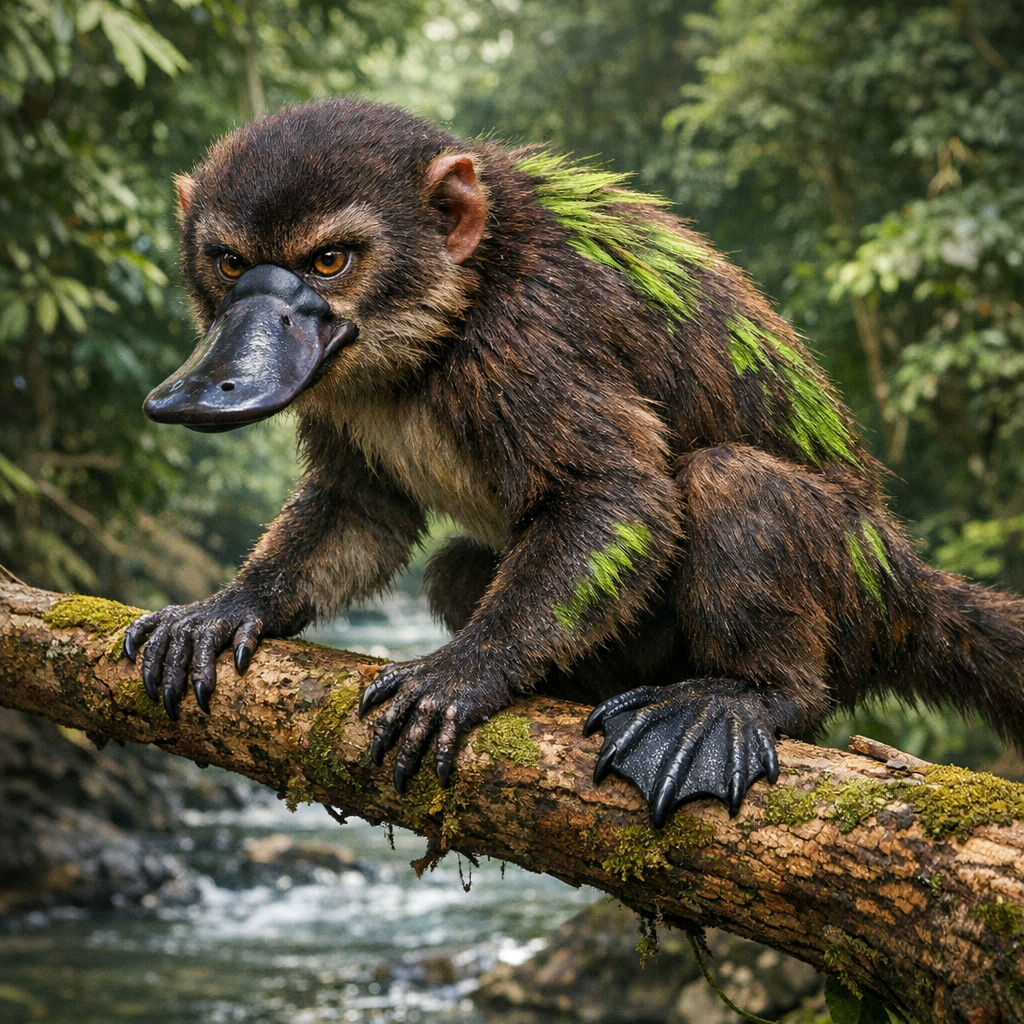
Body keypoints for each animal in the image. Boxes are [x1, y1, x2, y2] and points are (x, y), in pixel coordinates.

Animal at [123, 97, 1024, 828]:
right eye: (230, 262)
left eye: (328, 260)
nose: (210, 385)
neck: (452, 308)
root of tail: (905, 589)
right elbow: (360, 506)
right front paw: (225, 609)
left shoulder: (532, 333)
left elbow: (617, 496)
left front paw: (461, 675)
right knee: (454, 567)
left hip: (853, 590)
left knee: (735, 482)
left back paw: (737, 704)